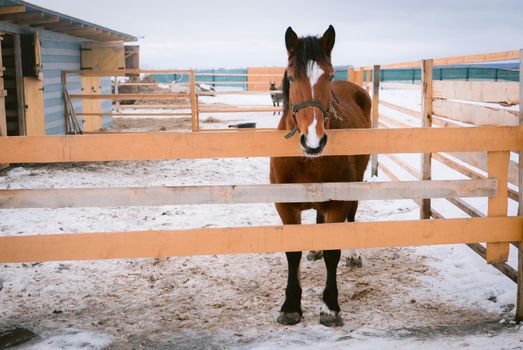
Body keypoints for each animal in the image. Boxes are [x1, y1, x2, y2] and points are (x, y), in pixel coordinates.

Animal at [270, 25, 372, 328]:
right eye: (292, 76)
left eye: (329, 76)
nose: (313, 141)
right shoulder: (285, 206)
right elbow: (293, 253)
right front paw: (291, 306)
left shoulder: (338, 204)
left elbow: (333, 252)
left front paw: (330, 307)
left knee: (351, 215)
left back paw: (353, 255)